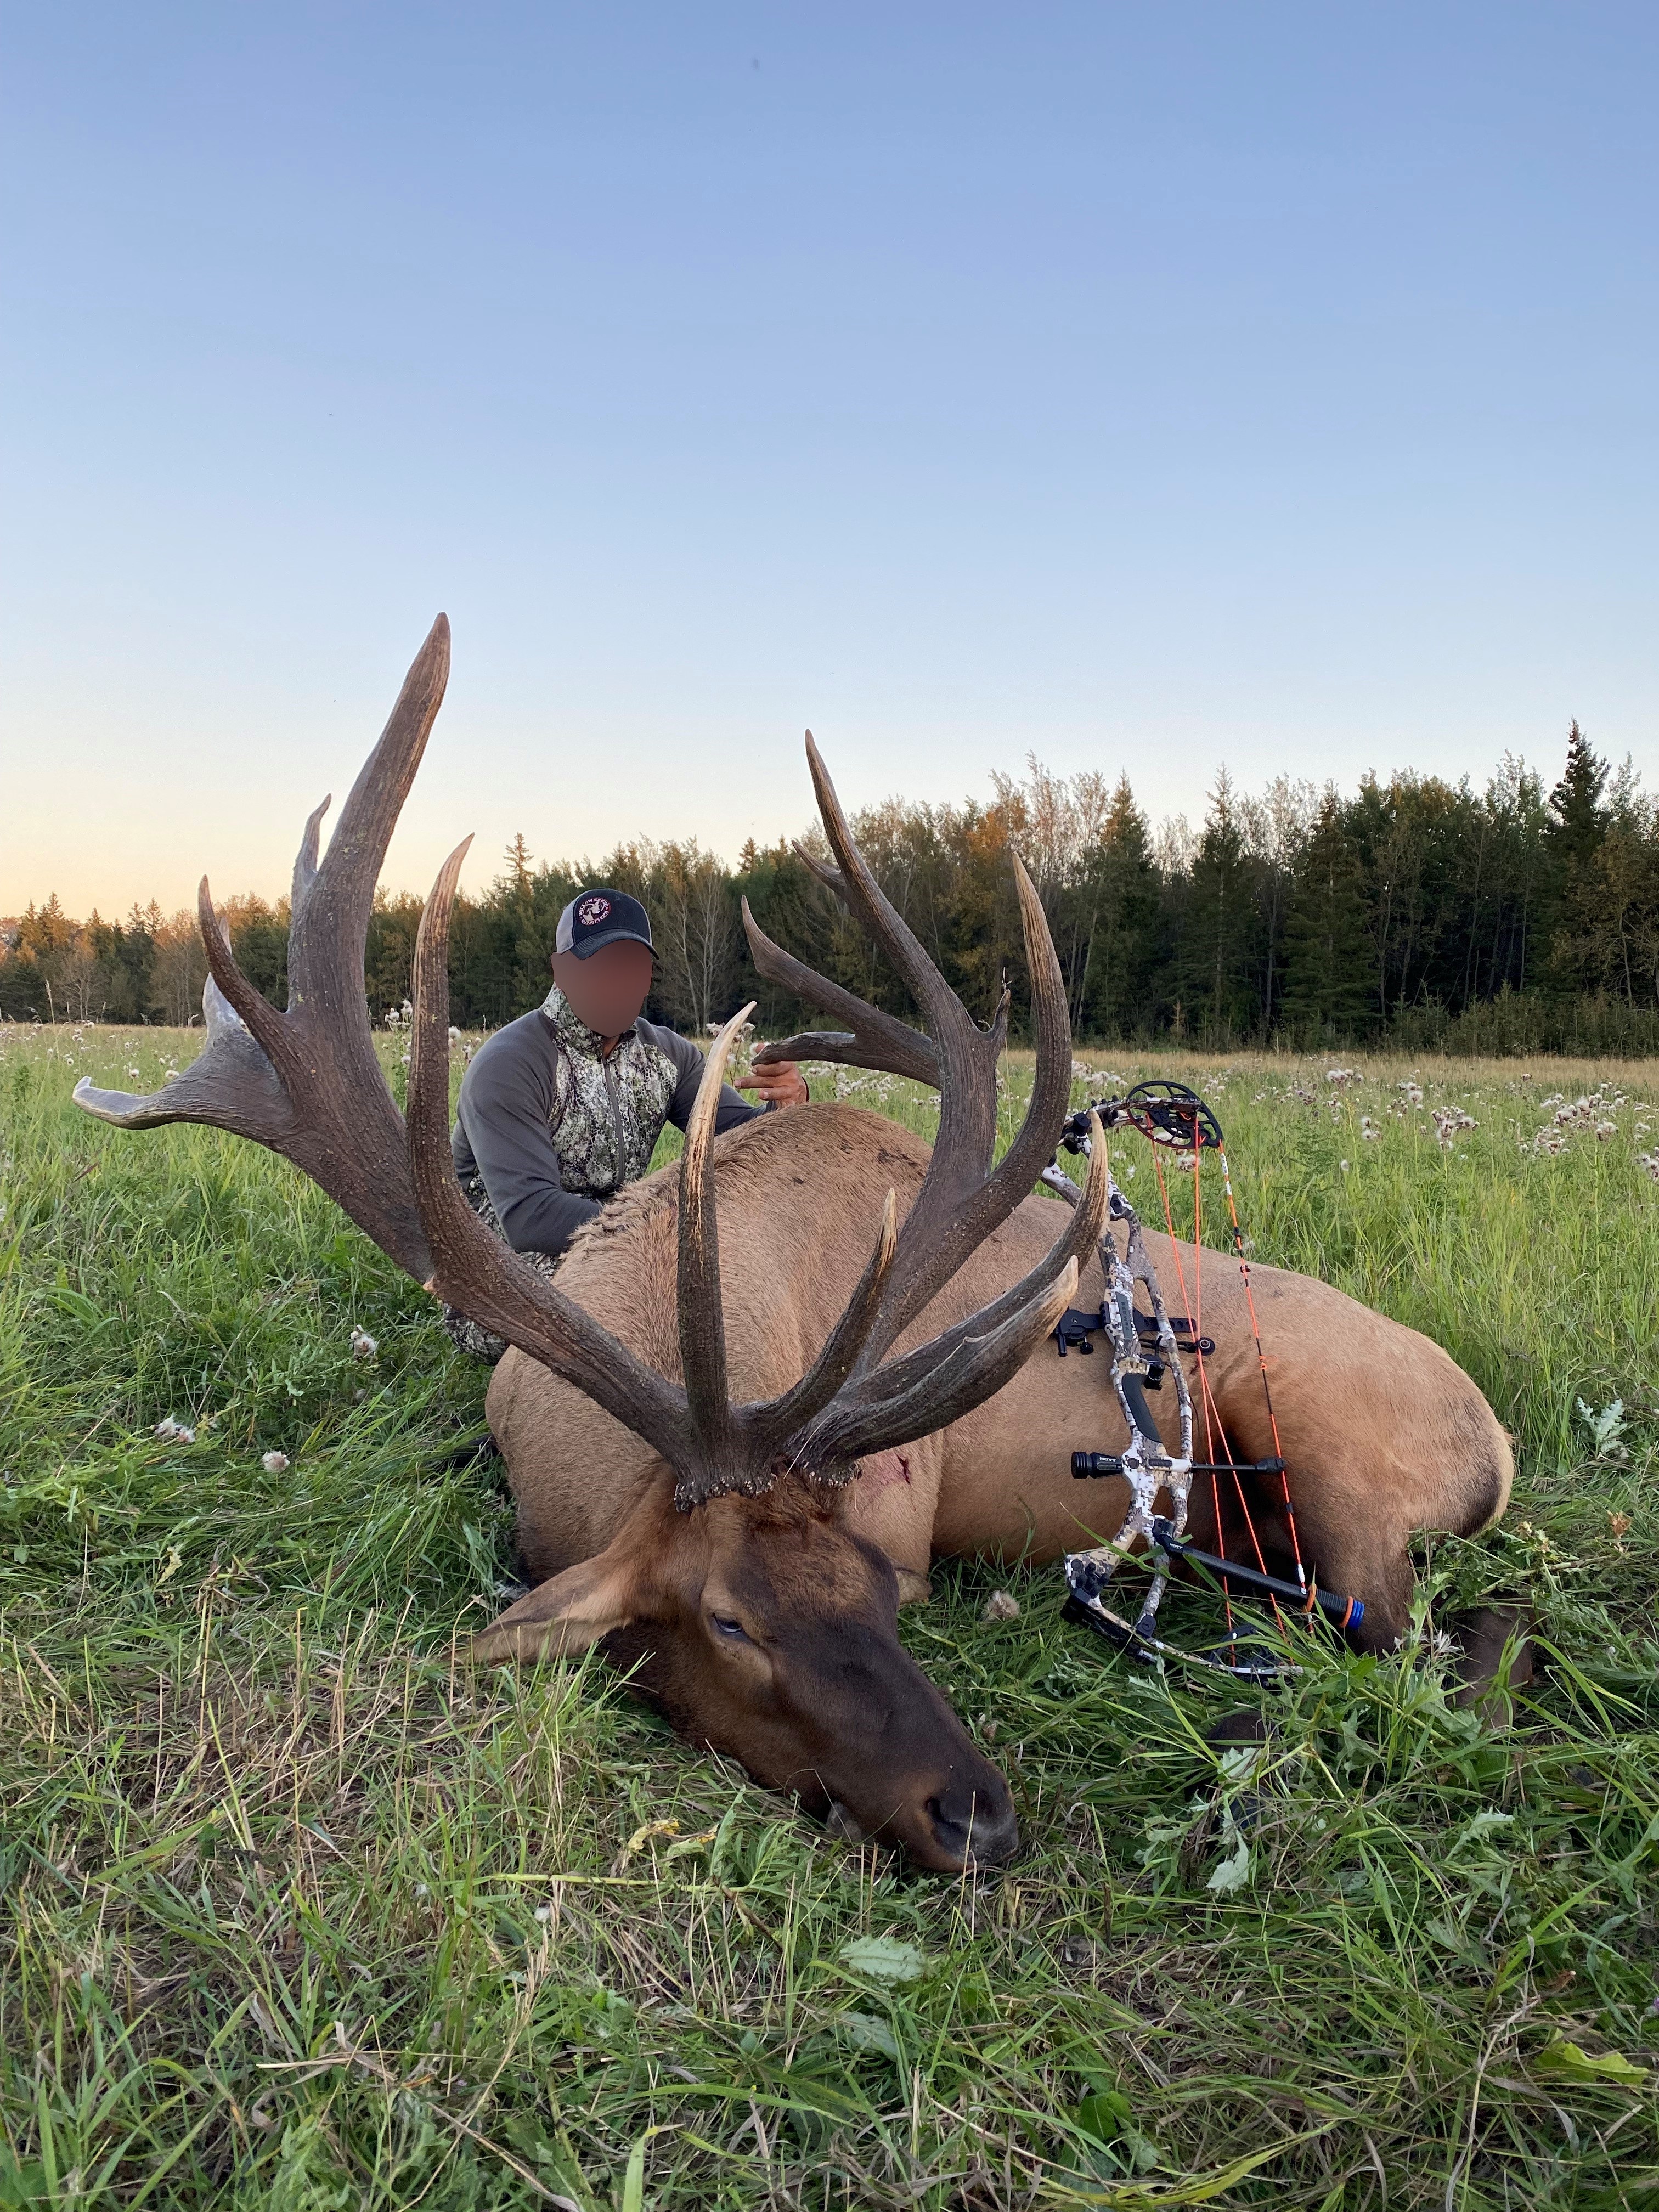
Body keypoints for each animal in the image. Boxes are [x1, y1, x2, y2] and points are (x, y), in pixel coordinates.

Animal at [76, 618, 1514, 1872]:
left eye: (884, 1590)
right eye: (728, 1617)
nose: (978, 1816)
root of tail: (1496, 1449)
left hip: (1332, 1451)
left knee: (1420, 1641)